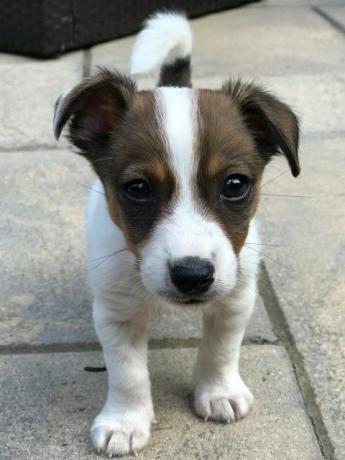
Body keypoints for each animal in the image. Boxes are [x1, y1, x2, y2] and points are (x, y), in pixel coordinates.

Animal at [53, 10, 298, 456]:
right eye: (138, 188)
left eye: (235, 185)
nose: (193, 276)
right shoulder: (116, 311)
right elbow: (127, 373)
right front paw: (125, 421)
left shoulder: (236, 295)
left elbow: (221, 349)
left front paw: (218, 391)